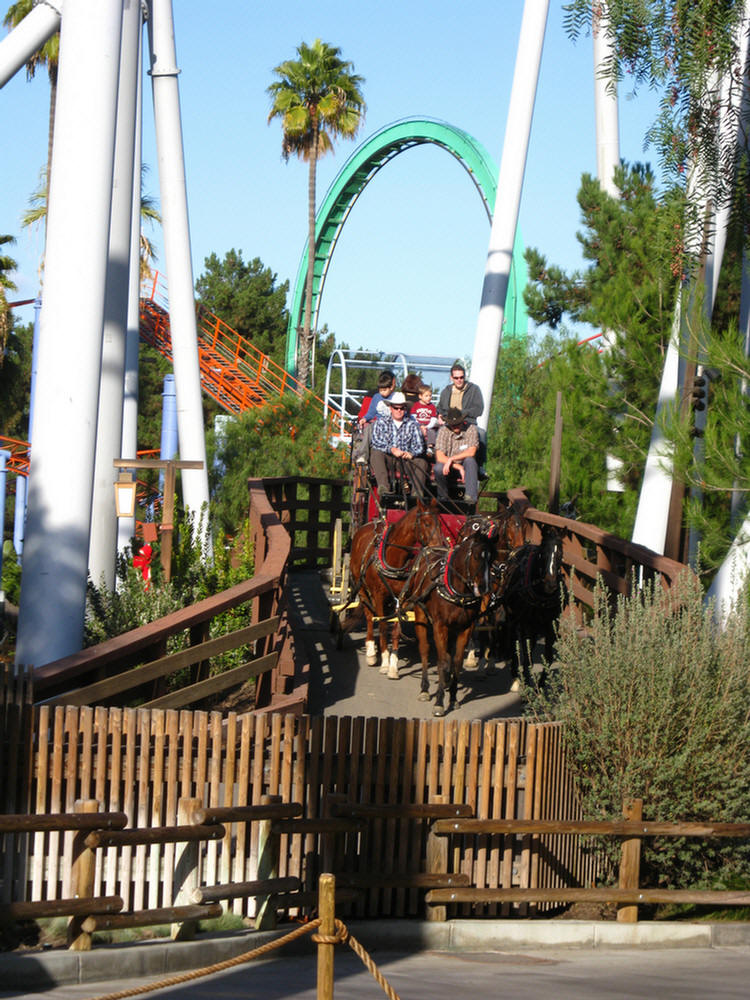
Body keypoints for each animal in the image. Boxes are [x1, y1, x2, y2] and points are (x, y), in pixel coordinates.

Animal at [350, 500, 450, 680]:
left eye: (439, 523)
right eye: (426, 523)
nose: (438, 548)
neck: (393, 556)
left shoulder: (402, 598)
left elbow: (396, 629)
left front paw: (393, 665)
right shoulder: (378, 595)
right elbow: (383, 626)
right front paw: (384, 661)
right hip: (361, 587)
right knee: (369, 617)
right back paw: (370, 651)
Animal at [400, 512, 500, 716]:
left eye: (493, 556)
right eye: (477, 556)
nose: (485, 588)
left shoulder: (465, 628)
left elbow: (456, 662)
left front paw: (453, 698)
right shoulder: (440, 626)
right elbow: (442, 661)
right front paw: (439, 701)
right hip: (421, 618)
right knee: (424, 650)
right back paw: (425, 688)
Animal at [500, 524, 564, 688]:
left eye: (560, 553)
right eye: (543, 553)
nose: (550, 584)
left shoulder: (551, 624)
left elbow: (548, 656)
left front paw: (540, 683)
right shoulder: (526, 624)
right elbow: (526, 652)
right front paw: (527, 680)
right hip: (513, 616)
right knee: (514, 639)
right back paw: (515, 672)